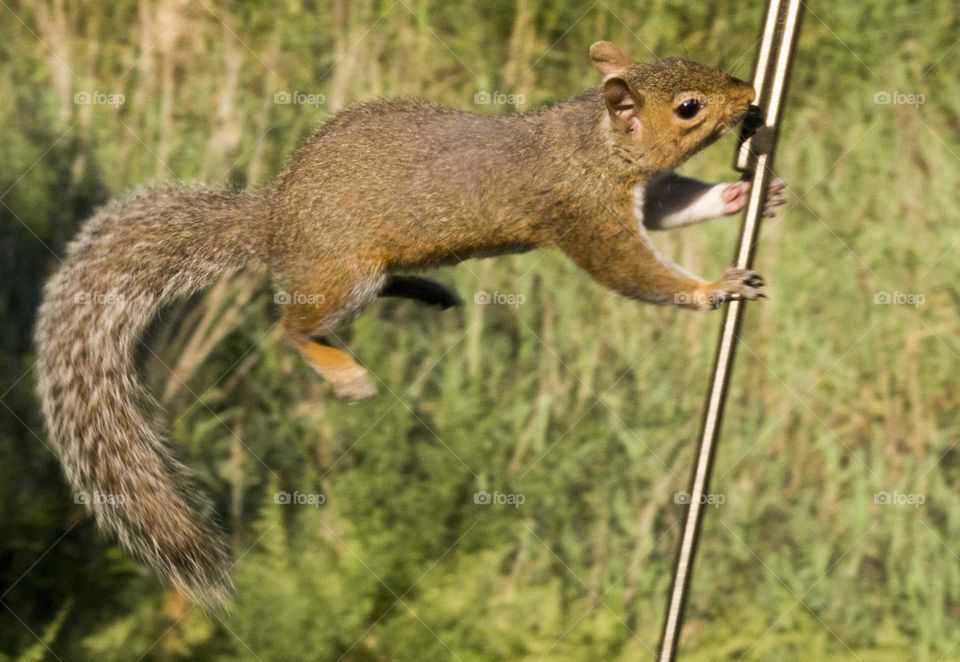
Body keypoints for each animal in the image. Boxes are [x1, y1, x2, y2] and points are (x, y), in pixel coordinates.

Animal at [34, 41, 785, 609]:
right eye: (687, 107)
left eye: (698, 65)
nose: (749, 94)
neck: (593, 141)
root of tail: (273, 218)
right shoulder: (584, 212)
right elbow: (631, 268)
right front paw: (710, 288)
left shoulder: (638, 192)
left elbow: (671, 207)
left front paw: (741, 193)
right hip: (344, 275)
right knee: (292, 326)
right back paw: (344, 371)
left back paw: (425, 290)